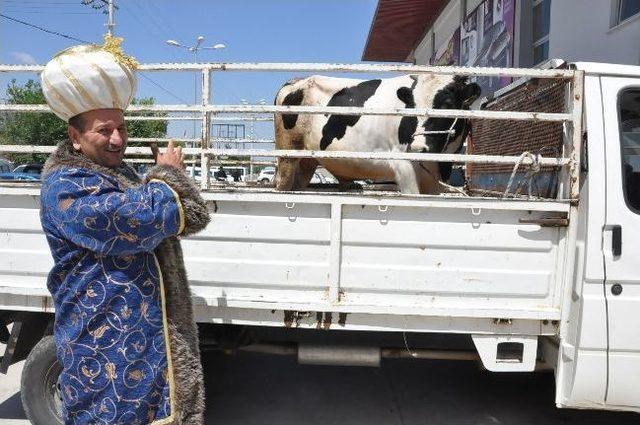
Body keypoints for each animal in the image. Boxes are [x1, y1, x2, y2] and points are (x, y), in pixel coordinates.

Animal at [274, 73, 480, 193]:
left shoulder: (434, 177)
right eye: (411, 106)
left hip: (307, 161)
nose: (417, 148)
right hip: (287, 154)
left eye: (447, 104)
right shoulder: (403, 166)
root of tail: (296, 82)